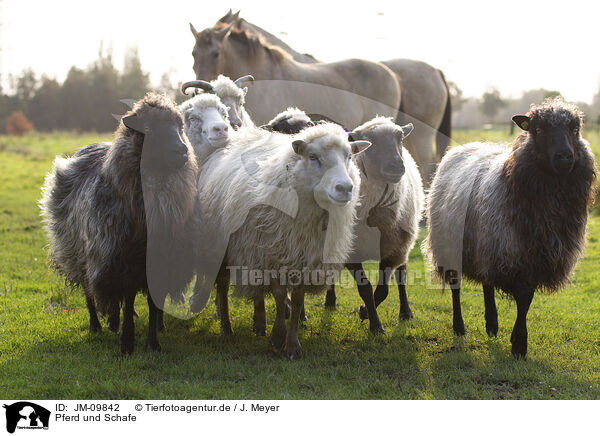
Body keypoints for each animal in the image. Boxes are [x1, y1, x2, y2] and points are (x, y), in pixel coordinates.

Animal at [40, 93, 199, 354]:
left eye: (180, 126)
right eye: (148, 127)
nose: (182, 151)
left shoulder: (160, 261)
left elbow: (151, 303)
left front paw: (152, 343)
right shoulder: (120, 258)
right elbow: (126, 295)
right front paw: (126, 342)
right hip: (82, 253)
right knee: (90, 290)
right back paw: (98, 324)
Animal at [322, 117, 424, 332]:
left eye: (400, 138)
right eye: (370, 143)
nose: (396, 166)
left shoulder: (392, 249)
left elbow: (383, 289)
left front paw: (365, 313)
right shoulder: (351, 252)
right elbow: (366, 288)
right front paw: (374, 324)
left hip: (403, 241)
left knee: (401, 275)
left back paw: (406, 312)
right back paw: (330, 301)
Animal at [424, 98, 596, 358]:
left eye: (575, 129)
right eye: (538, 130)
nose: (565, 156)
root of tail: (460, 149)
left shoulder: (536, 255)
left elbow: (528, 298)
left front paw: (516, 339)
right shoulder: (512, 251)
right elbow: (523, 296)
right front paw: (519, 344)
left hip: (484, 243)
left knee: (486, 282)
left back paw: (492, 324)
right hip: (451, 242)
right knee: (456, 286)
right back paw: (459, 327)